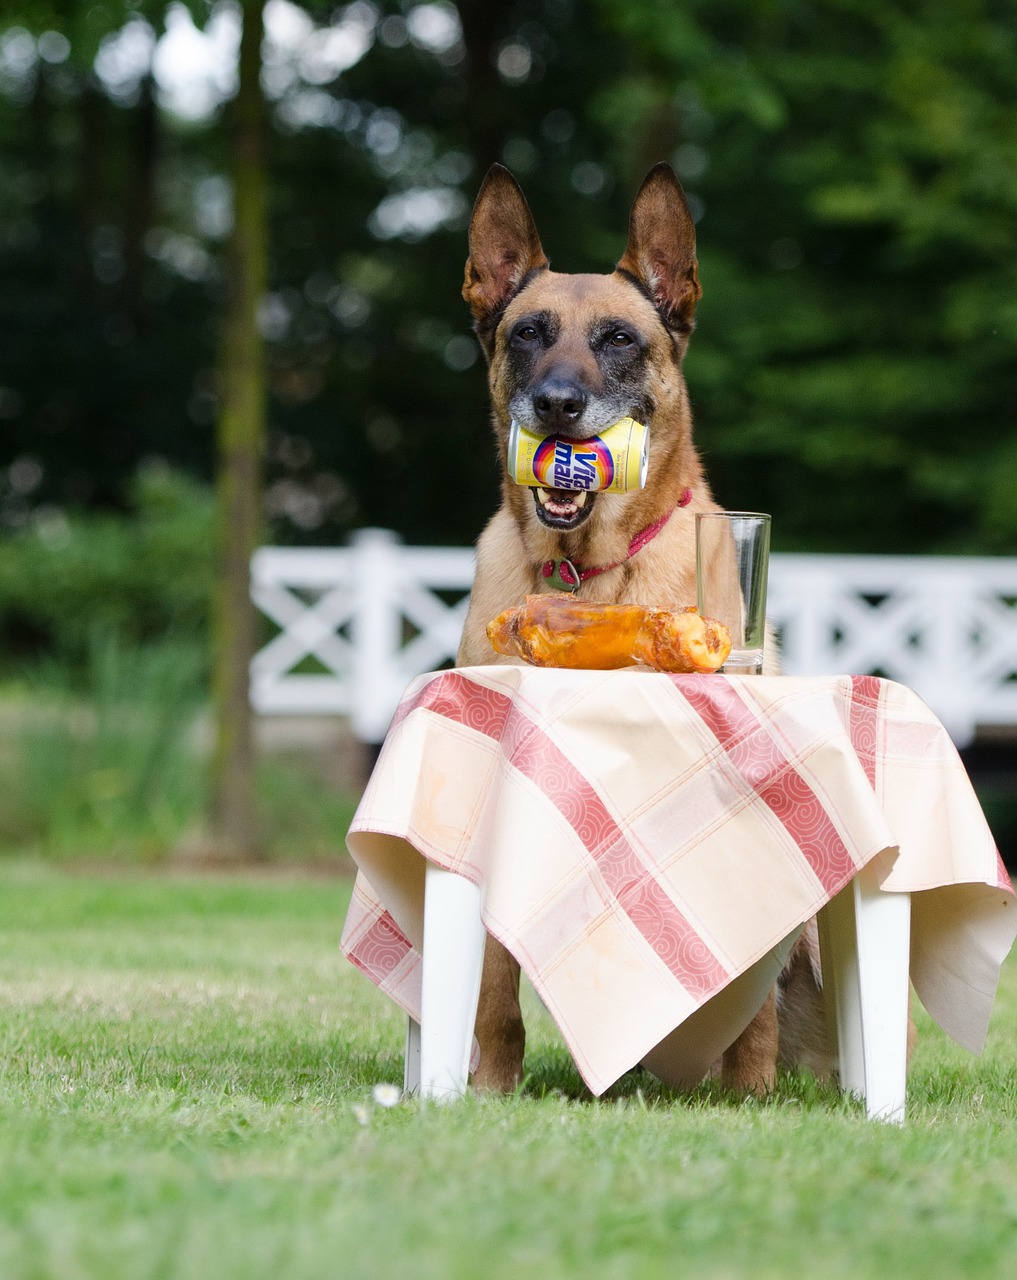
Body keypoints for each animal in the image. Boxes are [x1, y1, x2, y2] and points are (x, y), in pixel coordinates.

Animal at [457, 162, 828, 1100]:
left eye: (620, 339)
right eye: (527, 334)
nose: (557, 404)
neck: (584, 574)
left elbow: (753, 997)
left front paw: (750, 1092)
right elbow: (491, 984)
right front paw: (489, 1083)